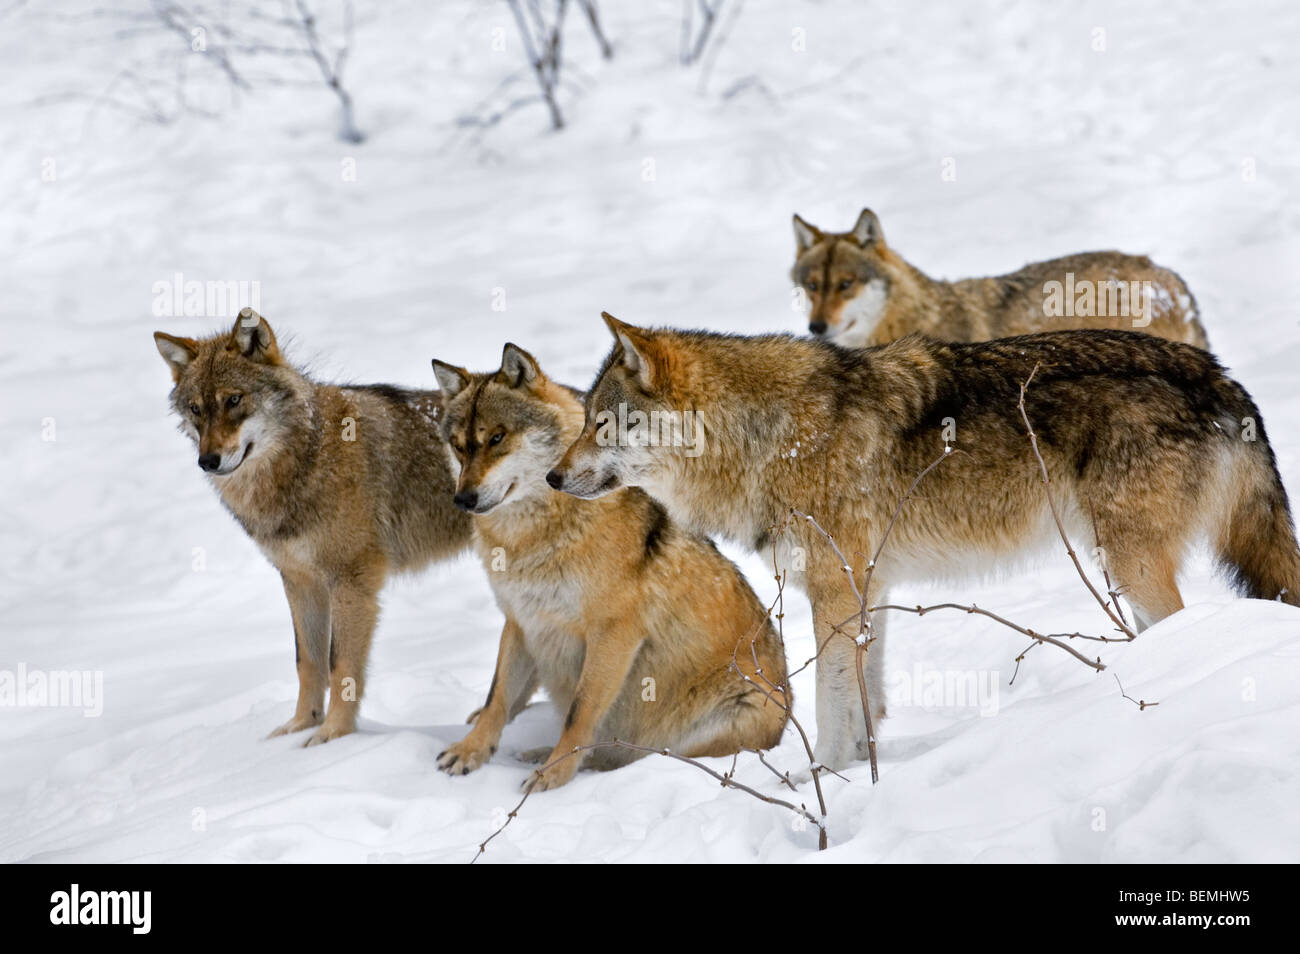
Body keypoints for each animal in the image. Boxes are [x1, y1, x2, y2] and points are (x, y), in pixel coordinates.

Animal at [153, 309, 472, 746]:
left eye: (234, 400)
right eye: (196, 409)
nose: (208, 461)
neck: (306, 459)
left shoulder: (351, 582)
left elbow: (341, 667)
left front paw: (332, 737)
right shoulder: (300, 581)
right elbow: (308, 661)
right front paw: (299, 728)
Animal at [431, 344, 789, 791]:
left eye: (497, 438)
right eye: (458, 446)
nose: (463, 499)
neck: (534, 537)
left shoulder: (612, 634)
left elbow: (579, 712)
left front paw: (553, 775)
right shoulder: (521, 622)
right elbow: (496, 698)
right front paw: (470, 752)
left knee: (638, 758)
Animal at [549, 314, 1300, 770]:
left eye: (602, 423)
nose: (552, 477)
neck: (767, 437)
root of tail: (1220, 376)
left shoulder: (834, 591)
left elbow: (831, 708)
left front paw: (829, 783)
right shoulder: (868, 588)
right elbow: (866, 704)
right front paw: (865, 778)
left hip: (1130, 562)